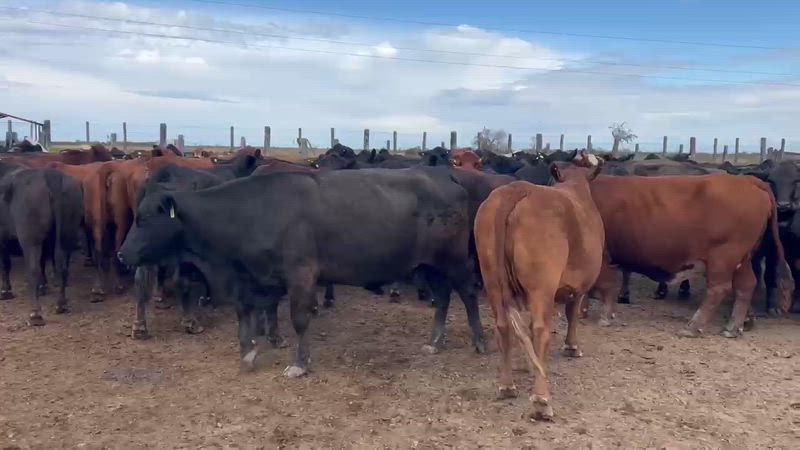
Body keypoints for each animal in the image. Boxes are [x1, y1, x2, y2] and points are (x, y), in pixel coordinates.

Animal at [0, 163, 84, 325]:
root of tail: (51, 175)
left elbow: (5, 264)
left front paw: (5, 291)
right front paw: (42, 286)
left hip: (30, 239)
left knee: (32, 269)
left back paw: (35, 314)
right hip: (67, 234)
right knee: (62, 267)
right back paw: (61, 304)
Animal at [118, 167, 485, 376]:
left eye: (144, 219)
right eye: (136, 215)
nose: (121, 254)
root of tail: (446, 176)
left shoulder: (301, 274)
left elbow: (299, 319)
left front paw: (300, 363)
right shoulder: (251, 277)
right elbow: (246, 314)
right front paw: (248, 353)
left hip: (453, 260)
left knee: (467, 292)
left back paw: (480, 341)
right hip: (428, 265)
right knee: (443, 296)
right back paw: (435, 342)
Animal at [474, 158, 605, 421]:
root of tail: (516, 190)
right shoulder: (579, 287)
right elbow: (573, 313)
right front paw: (572, 346)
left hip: (492, 279)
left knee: (504, 325)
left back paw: (507, 385)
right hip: (541, 286)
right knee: (541, 329)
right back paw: (541, 400)